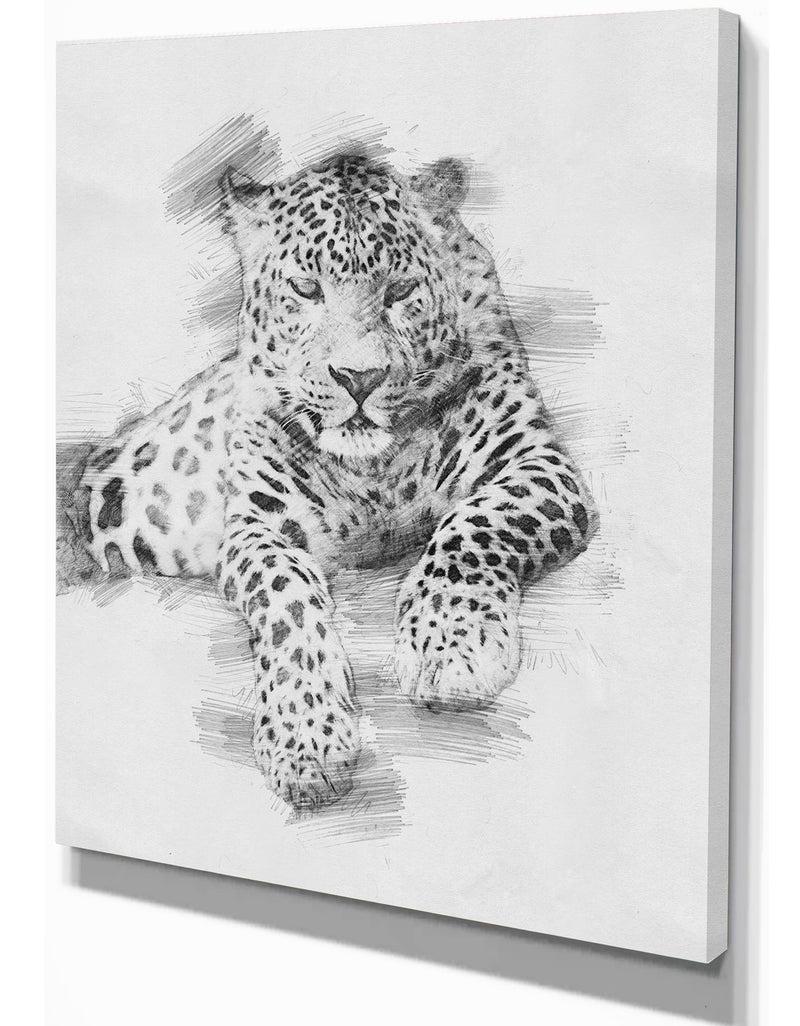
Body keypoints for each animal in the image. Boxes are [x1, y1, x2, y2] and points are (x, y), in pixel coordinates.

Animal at [59, 152, 598, 811]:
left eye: (400, 291)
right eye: (306, 289)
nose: (358, 378)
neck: (374, 473)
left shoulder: (535, 461)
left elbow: (470, 527)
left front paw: (452, 650)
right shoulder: (259, 525)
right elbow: (285, 593)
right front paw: (306, 738)